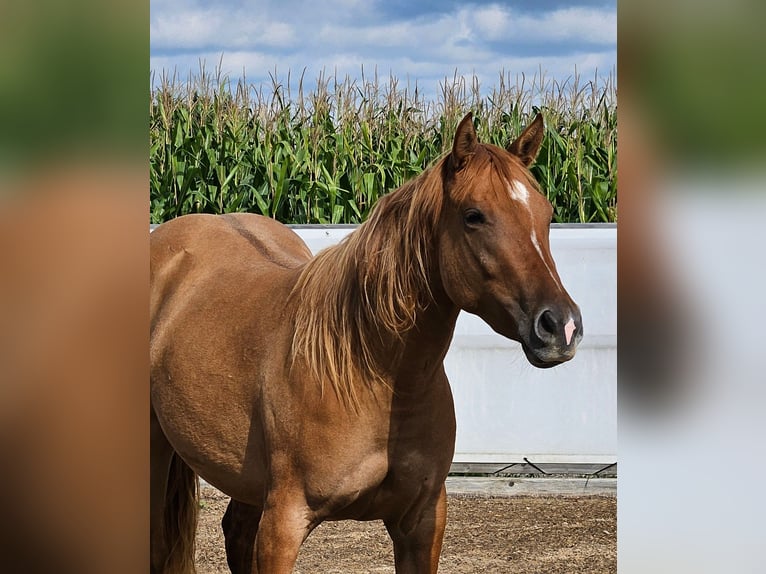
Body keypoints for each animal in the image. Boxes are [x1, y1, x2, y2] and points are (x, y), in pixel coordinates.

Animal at [148, 110, 584, 572]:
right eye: (473, 215)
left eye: (546, 214)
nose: (561, 326)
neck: (370, 371)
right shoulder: (284, 522)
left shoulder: (422, 522)